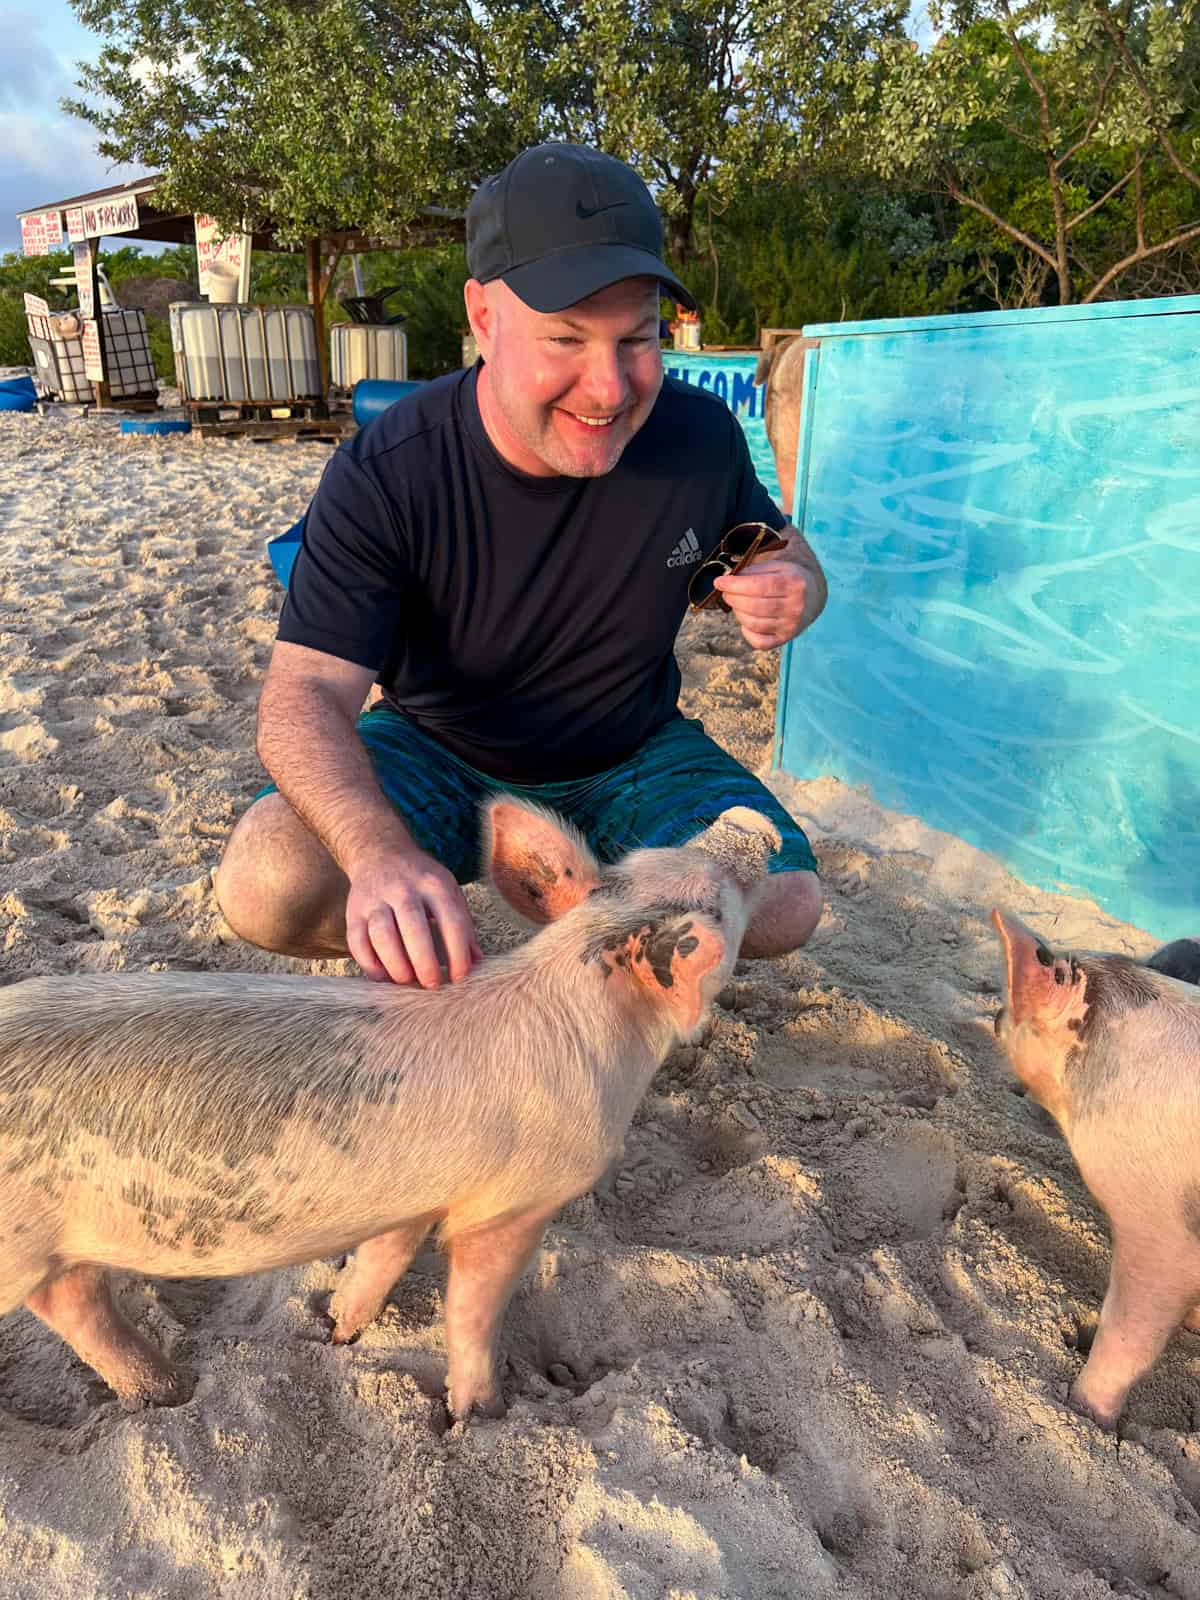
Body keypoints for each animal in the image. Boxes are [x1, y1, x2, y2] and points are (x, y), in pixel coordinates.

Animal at [0, 800, 780, 1427]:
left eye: (654, 859)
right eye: (724, 901)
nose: (751, 817)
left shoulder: (413, 1194)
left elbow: (383, 1257)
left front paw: (337, 1333)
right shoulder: (515, 1201)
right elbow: (473, 1304)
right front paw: (485, 1416)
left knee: (78, 1303)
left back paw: (166, 1394)